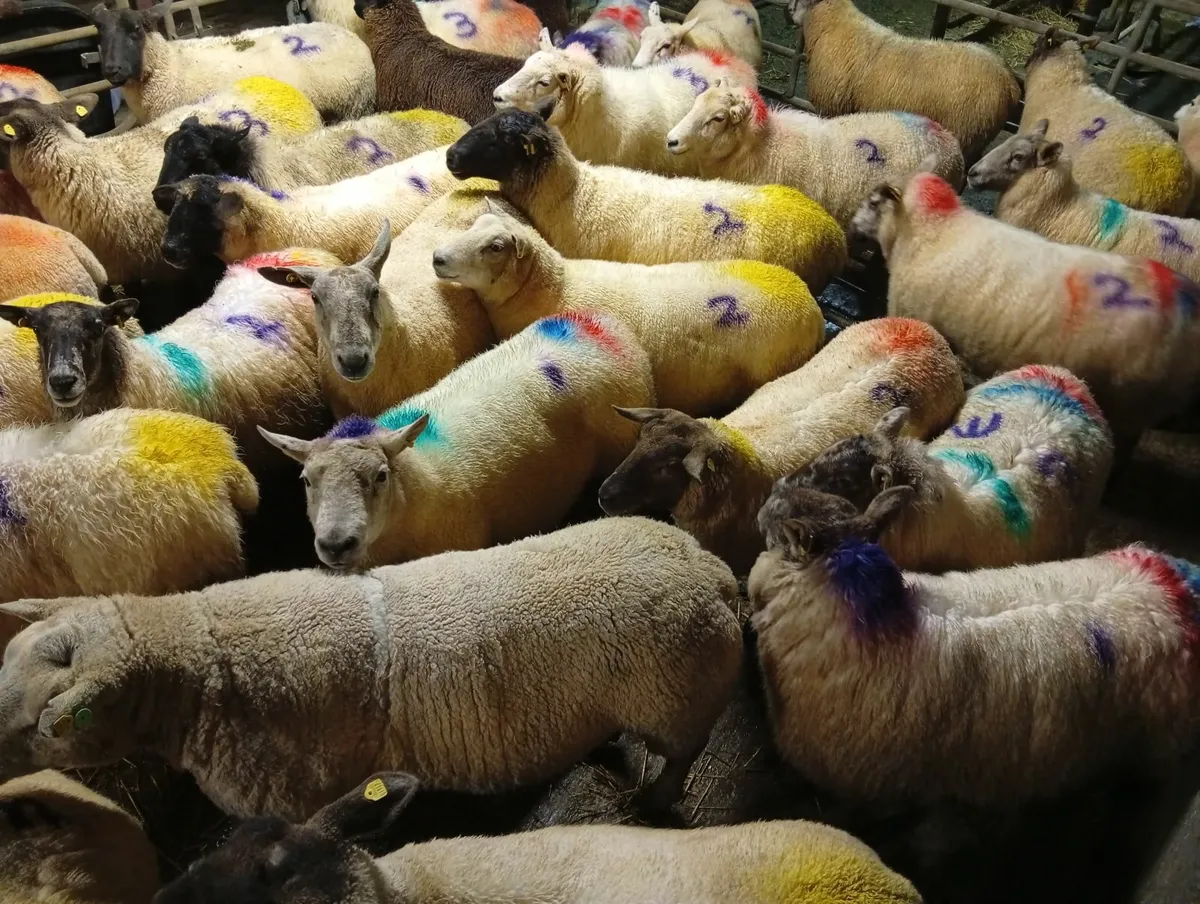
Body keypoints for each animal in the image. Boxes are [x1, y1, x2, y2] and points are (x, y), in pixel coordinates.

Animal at [0, 516, 743, 820]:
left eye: (47, 726)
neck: (200, 661)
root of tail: (707, 565)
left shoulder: (307, 798)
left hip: (677, 701)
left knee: (680, 759)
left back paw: (654, 800)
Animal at [90, 5, 375, 123]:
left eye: (136, 29)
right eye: (99, 32)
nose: (112, 70)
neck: (169, 64)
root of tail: (355, 40)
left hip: (353, 108)